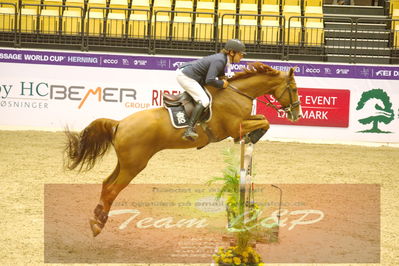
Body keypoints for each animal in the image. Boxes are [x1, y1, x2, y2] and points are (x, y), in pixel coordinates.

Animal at [65, 62, 304, 237]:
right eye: (293, 89)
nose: (297, 115)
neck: (237, 93)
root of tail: (119, 123)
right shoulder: (235, 127)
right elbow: (264, 121)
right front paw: (254, 135)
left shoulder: (243, 123)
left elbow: (262, 118)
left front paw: (254, 136)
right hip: (134, 166)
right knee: (113, 190)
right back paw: (98, 225)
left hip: (125, 163)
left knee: (106, 184)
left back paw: (97, 218)